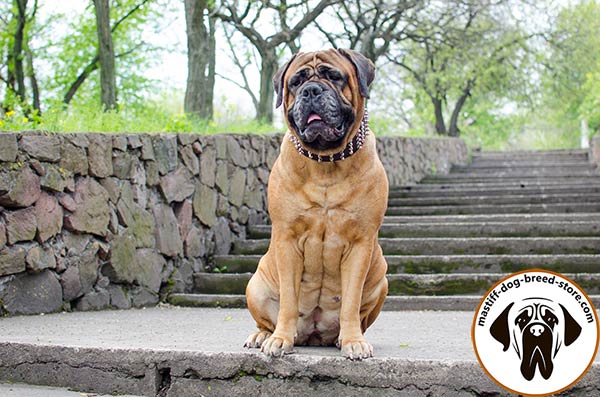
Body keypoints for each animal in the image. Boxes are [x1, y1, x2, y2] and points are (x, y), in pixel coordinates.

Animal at [243, 48, 390, 358]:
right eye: (296, 82)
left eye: (334, 76)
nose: (311, 90)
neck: (326, 163)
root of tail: (313, 334)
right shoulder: (287, 239)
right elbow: (288, 299)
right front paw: (280, 339)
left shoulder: (360, 243)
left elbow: (350, 302)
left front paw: (353, 341)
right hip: (256, 285)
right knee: (266, 318)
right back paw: (263, 335)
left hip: (380, 279)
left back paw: (340, 338)